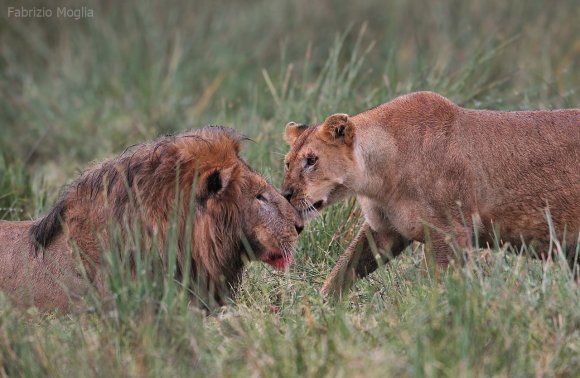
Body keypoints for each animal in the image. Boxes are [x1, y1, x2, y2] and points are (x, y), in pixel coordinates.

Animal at [282, 91, 580, 296]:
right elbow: (344, 269)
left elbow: (436, 283)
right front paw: (320, 309)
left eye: (311, 161)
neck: (378, 175)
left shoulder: (451, 231)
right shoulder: (383, 230)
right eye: (287, 163)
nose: (285, 194)